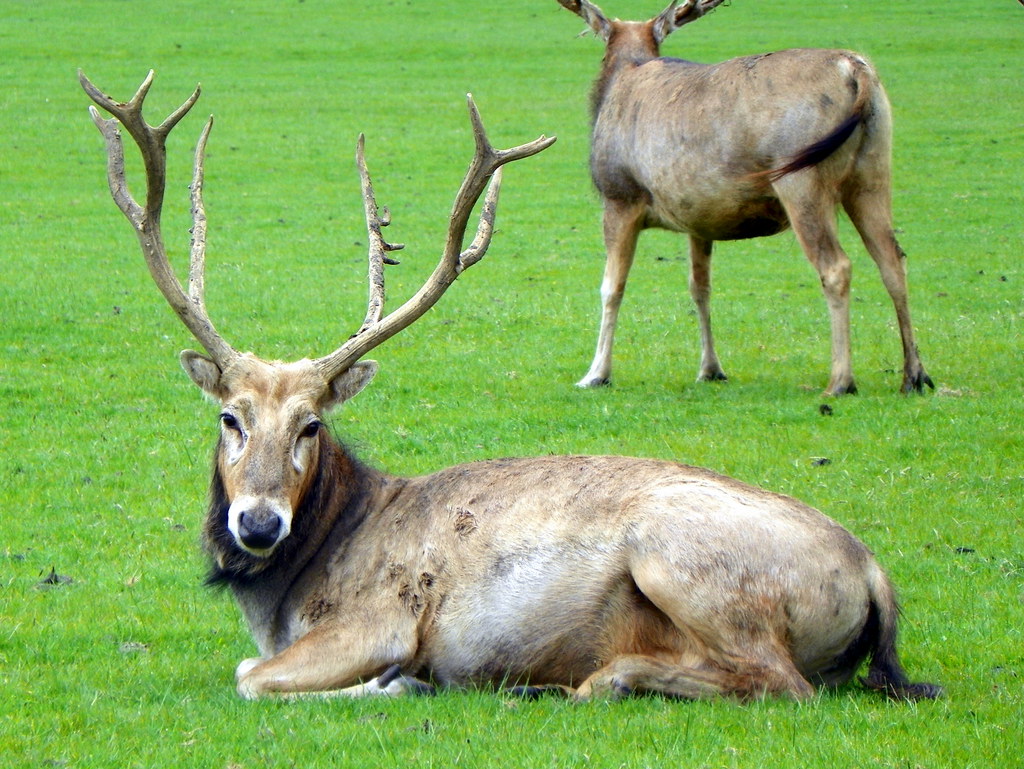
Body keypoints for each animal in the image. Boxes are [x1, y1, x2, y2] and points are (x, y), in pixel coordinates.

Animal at [81, 70, 940, 703]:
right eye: (230, 417)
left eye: (311, 425)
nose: (257, 522)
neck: (292, 589)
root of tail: (876, 575)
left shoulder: (380, 618)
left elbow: (249, 675)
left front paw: (400, 683)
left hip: (683, 559)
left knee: (781, 681)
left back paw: (596, 678)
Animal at [556, 0, 934, 397]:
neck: (622, 77)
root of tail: (855, 67)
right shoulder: (698, 217)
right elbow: (700, 287)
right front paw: (710, 369)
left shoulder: (620, 197)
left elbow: (611, 288)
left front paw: (596, 373)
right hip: (873, 172)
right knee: (892, 259)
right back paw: (914, 375)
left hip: (801, 178)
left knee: (836, 266)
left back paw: (840, 381)